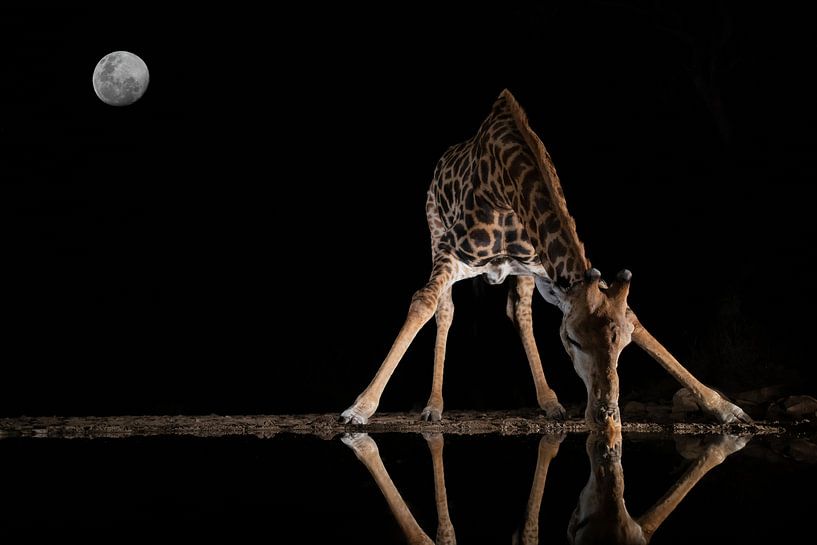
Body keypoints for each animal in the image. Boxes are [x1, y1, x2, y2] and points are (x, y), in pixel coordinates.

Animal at [340, 88, 752, 430]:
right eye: (571, 340)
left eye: (623, 345)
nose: (606, 414)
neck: (506, 187)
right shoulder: (453, 254)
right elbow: (424, 302)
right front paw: (360, 408)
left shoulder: (546, 270)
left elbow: (630, 315)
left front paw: (725, 408)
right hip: (435, 234)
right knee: (445, 309)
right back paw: (434, 406)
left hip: (519, 272)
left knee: (519, 311)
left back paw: (550, 402)